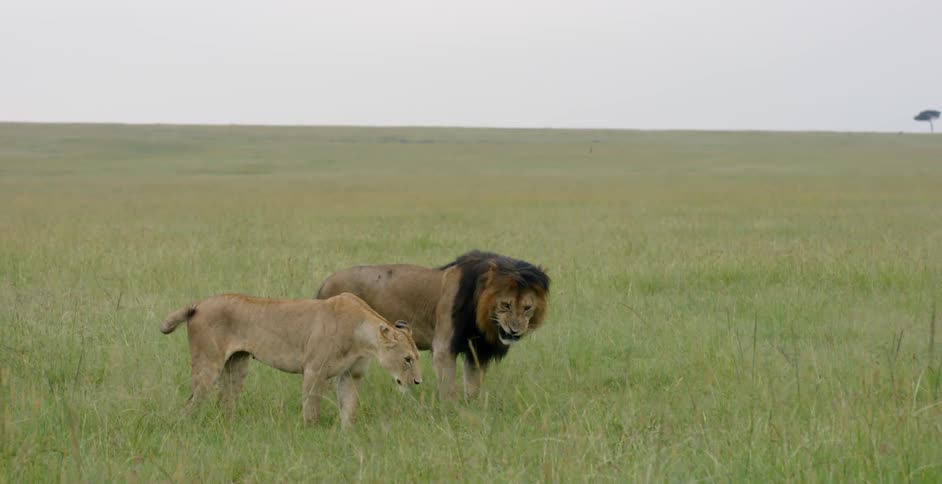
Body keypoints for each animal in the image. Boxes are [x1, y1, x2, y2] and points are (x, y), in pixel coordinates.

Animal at [159, 292, 422, 428]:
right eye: (407, 359)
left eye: (416, 358)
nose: (418, 382)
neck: (362, 336)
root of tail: (198, 304)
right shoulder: (314, 371)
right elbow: (311, 410)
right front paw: (311, 435)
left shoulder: (352, 375)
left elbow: (349, 408)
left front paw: (346, 435)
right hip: (208, 364)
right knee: (191, 403)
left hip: (237, 366)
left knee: (224, 401)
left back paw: (228, 427)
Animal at [315, 250, 549, 401]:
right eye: (506, 305)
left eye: (527, 307)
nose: (515, 331)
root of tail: (325, 282)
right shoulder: (444, 346)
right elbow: (448, 387)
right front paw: (452, 412)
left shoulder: (477, 350)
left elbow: (473, 386)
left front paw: (472, 407)